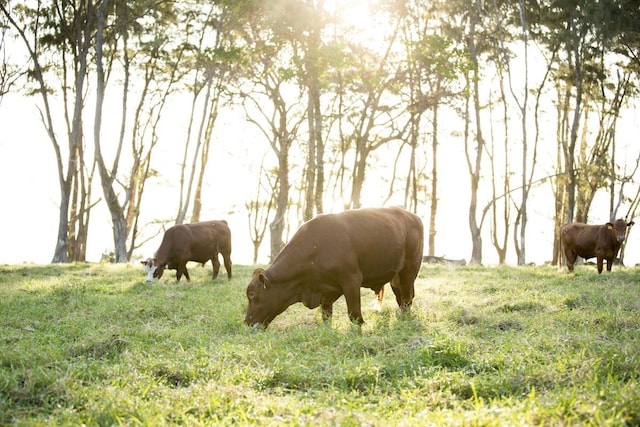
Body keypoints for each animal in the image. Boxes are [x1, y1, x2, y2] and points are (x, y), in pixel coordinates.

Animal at [242, 206, 422, 328]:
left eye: (252, 294)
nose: (247, 321)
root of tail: (412, 216)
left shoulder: (351, 281)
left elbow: (355, 314)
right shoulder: (327, 290)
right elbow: (326, 314)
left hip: (409, 272)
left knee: (407, 299)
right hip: (396, 279)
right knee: (402, 299)